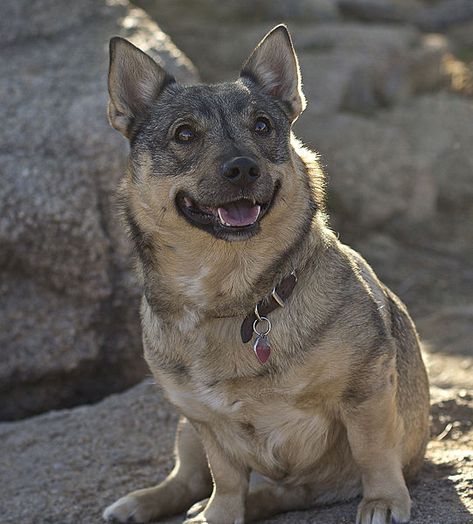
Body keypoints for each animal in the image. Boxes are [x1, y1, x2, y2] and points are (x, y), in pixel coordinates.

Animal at [103, 25, 428, 524]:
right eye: (184, 134)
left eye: (262, 126)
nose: (242, 167)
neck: (232, 296)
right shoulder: (207, 421)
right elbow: (226, 478)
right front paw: (219, 515)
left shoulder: (367, 388)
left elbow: (373, 450)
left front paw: (383, 501)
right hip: (185, 427)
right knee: (190, 479)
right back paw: (145, 503)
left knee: (272, 492)